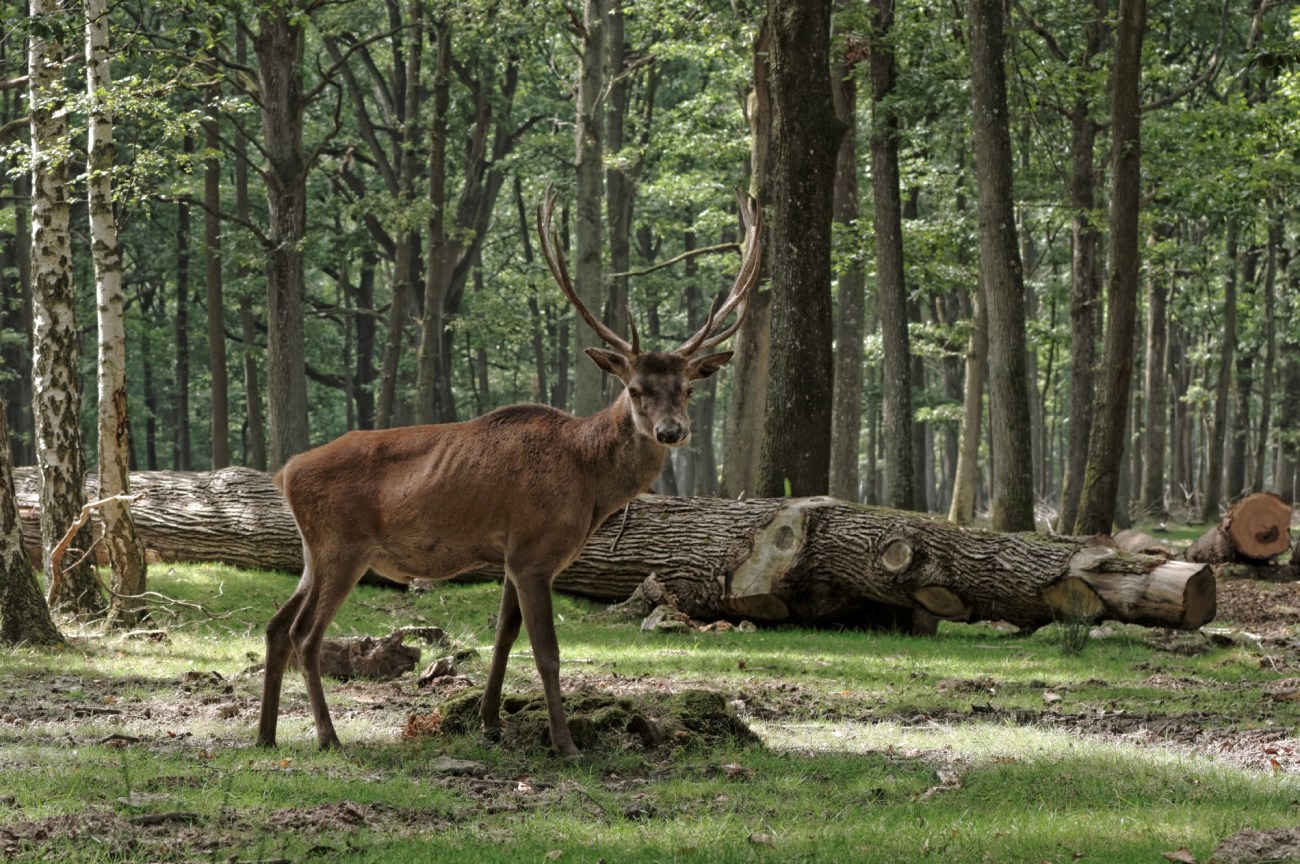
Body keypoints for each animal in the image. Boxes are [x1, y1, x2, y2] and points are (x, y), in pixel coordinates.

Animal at [256, 184, 762, 760]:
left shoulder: (511, 554)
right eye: (635, 389)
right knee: (304, 633)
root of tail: (285, 472)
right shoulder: (534, 551)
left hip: (311, 551)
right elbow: (546, 651)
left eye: (688, 388)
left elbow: (503, 637)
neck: (588, 487)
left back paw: (267, 735)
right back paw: (327, 734)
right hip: (342, 546)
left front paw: (491, 721)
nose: (672, 431)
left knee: (275, 625)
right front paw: (565, 745)